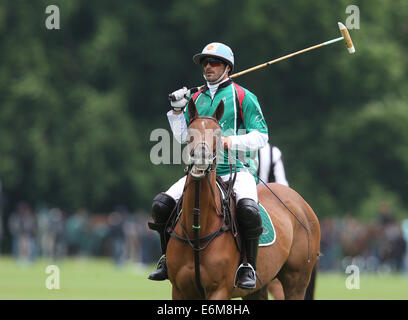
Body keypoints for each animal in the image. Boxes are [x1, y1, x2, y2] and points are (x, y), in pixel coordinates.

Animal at [167, 98, 322, 300]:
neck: (198, 229)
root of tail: (301, 203)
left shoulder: (219, 290)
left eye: (218, 133)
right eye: (190, 132)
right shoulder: (180, 290)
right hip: (259, 287)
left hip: (296, 280)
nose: (201, 157)